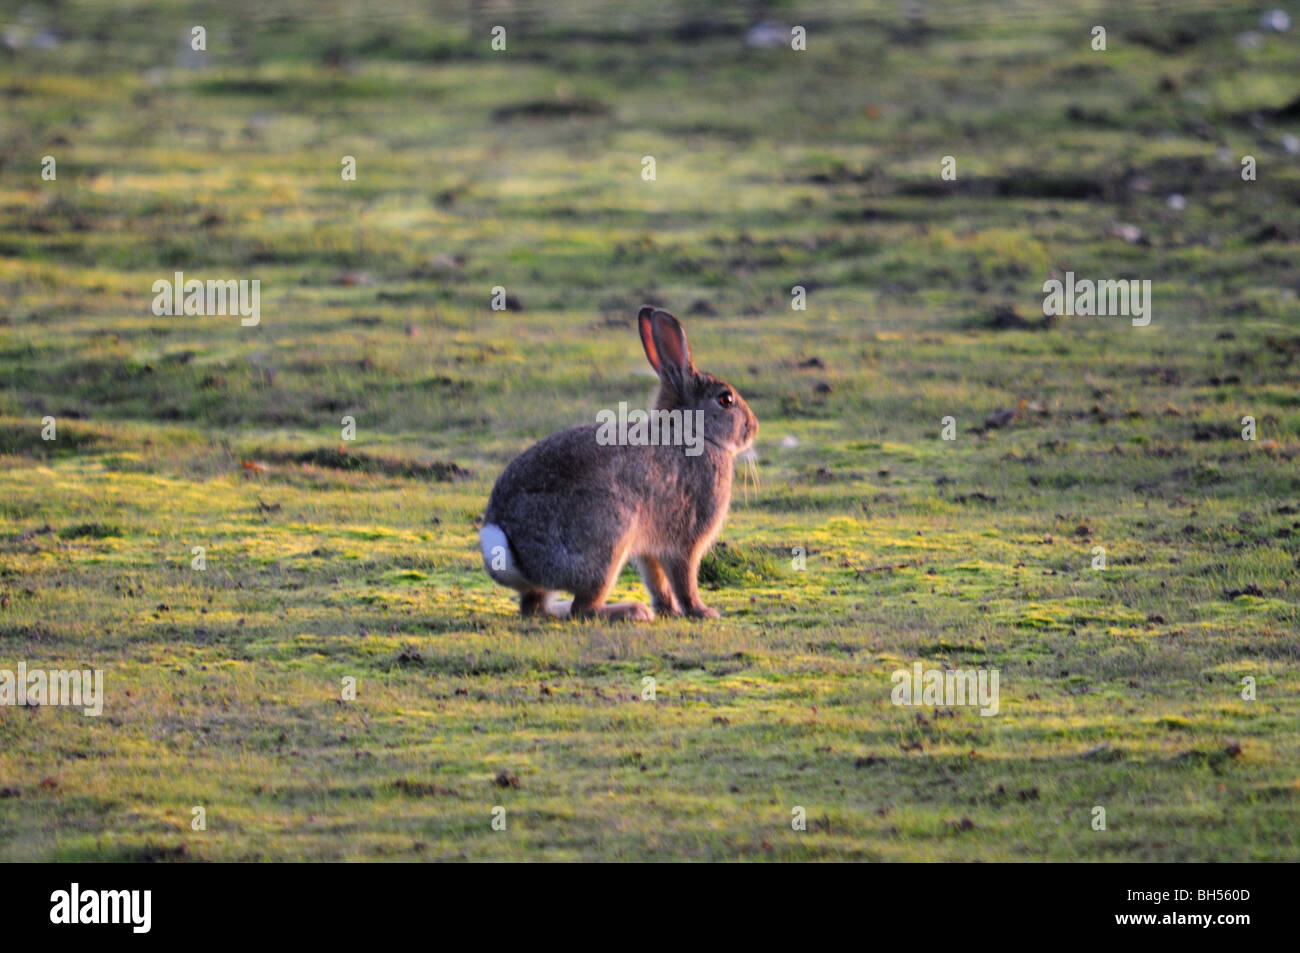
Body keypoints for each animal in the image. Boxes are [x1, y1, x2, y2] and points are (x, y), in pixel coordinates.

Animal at [479, 306, 758, 621]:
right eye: (726, 399)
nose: (753, 427)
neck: (695, 433)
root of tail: (509, 548)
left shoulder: (649, 548)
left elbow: (656, 580)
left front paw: (668, 610)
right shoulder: (686, 538)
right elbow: (684, 579)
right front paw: (702, 611)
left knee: (535, 607)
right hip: (608, 538)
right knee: (583, 608)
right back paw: (632, 610)